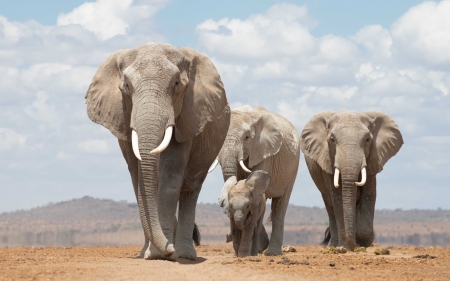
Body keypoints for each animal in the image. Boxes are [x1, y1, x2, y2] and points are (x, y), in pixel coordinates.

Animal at [85, 42, 230, 260]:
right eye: (126, 86)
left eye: (177, 84)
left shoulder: (186, 117)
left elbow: (170, 178)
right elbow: (139, 181)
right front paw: (150, 254)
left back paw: (185, 254)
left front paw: (163, 253)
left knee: (190, 189)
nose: (169, 250)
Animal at [210, 104, 300, 254]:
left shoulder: (263, 151)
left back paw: (271, 252)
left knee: (279, 206)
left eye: (247, 137)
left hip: (293, 167)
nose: (227, 237)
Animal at [300, 109, 402, 249]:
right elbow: (338, 198)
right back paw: (335, 245)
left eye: (367, 139)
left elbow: (369, 194)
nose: (354, 244)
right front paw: (346, 246)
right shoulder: (327, 159)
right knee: (330, 206)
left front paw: (360, 240)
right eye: (332, 139)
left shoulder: (372, 158)